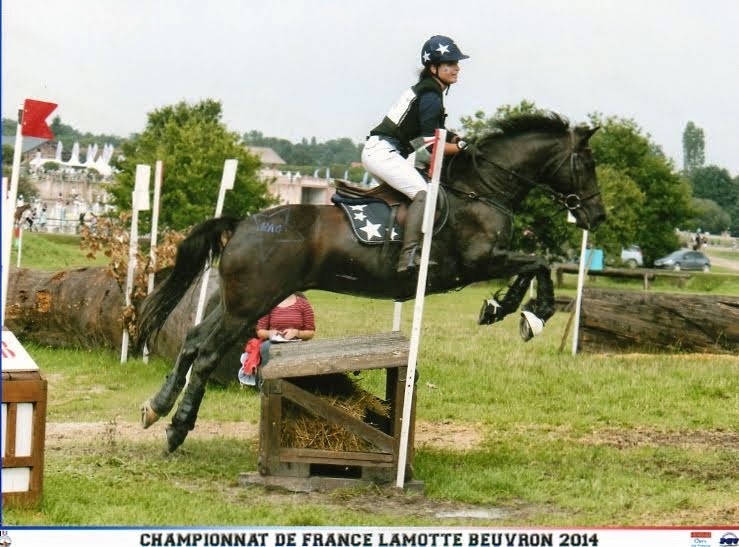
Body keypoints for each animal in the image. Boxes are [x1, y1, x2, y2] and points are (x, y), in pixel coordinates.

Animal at [137, 113, 608, 452]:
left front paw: (504, 309)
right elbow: (537, 263)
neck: (481, 189)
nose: (597, 216)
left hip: (234, 301)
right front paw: (531, 315)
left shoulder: (486, 263)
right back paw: (177, 429)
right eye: (587, 163)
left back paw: (155, 408)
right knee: (207, 354)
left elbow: (530, 267)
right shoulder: (477, 262)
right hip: (248, 306)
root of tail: (241, 224)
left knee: (192, 341)